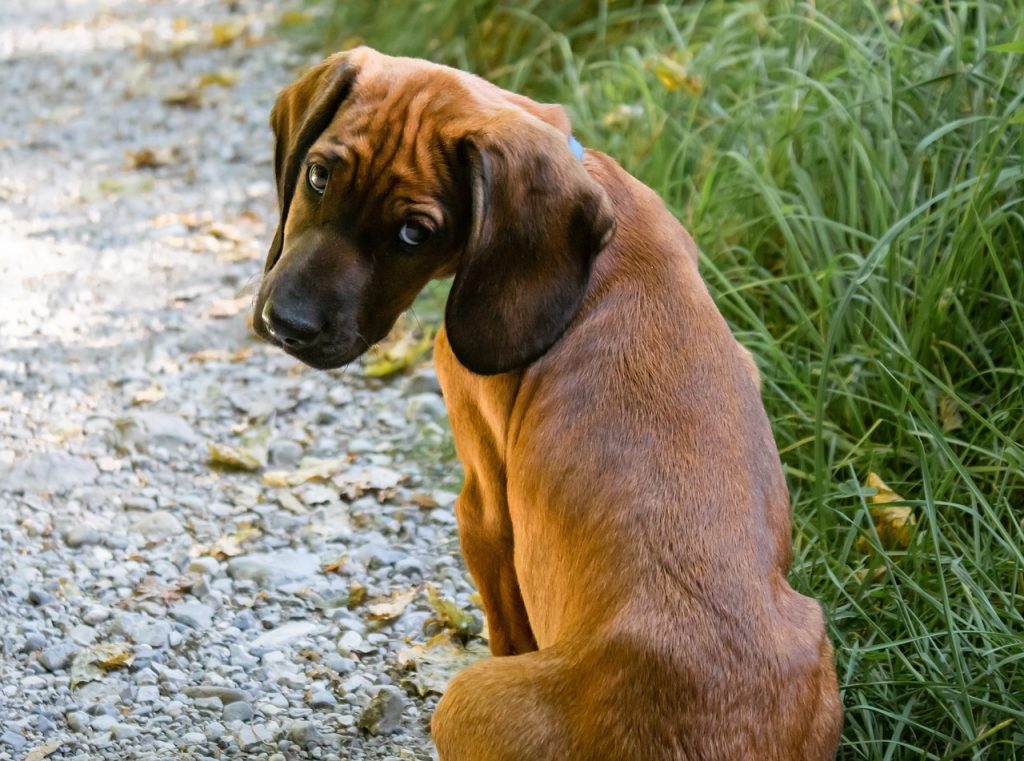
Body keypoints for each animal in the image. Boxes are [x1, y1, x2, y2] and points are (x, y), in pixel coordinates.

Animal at [253, 49, 839, 761]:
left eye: (415, 233)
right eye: (317, 175)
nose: (286, 325)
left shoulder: (483, 508)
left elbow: (508, 622)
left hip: (466, 696)